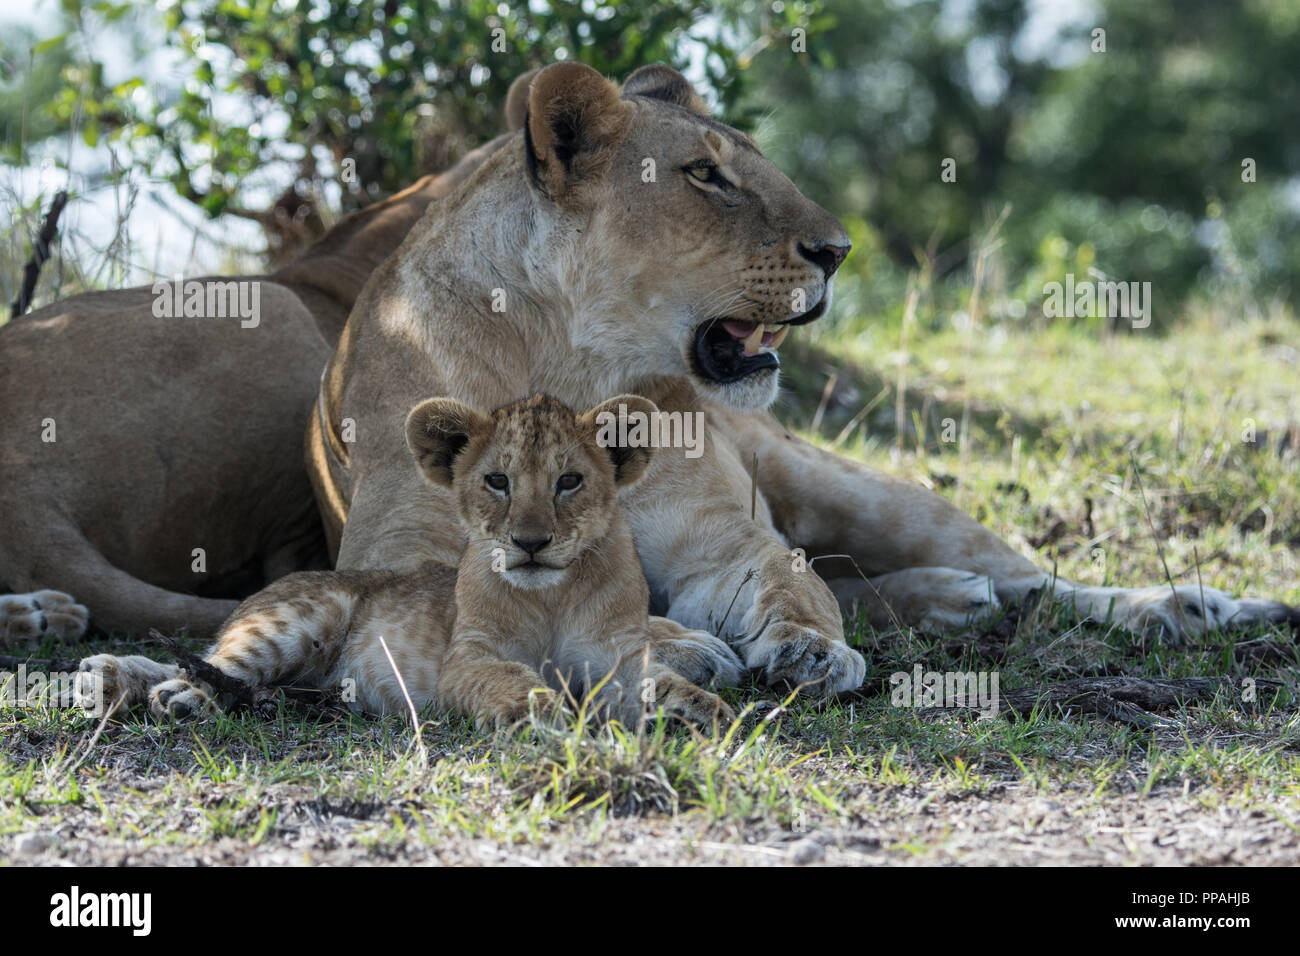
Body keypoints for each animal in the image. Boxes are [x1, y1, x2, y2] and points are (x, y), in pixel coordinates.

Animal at [75, 392, 741, 727]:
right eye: (498, 482)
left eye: (569, 482)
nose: (530, 542)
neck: (550, 595)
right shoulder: (466, 662)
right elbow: (510, 679)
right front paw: (542, 712)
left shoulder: (615, 657)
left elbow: (660, 680)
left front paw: (698, 709)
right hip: (293, 624)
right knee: (212, 666)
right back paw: (172, 696)